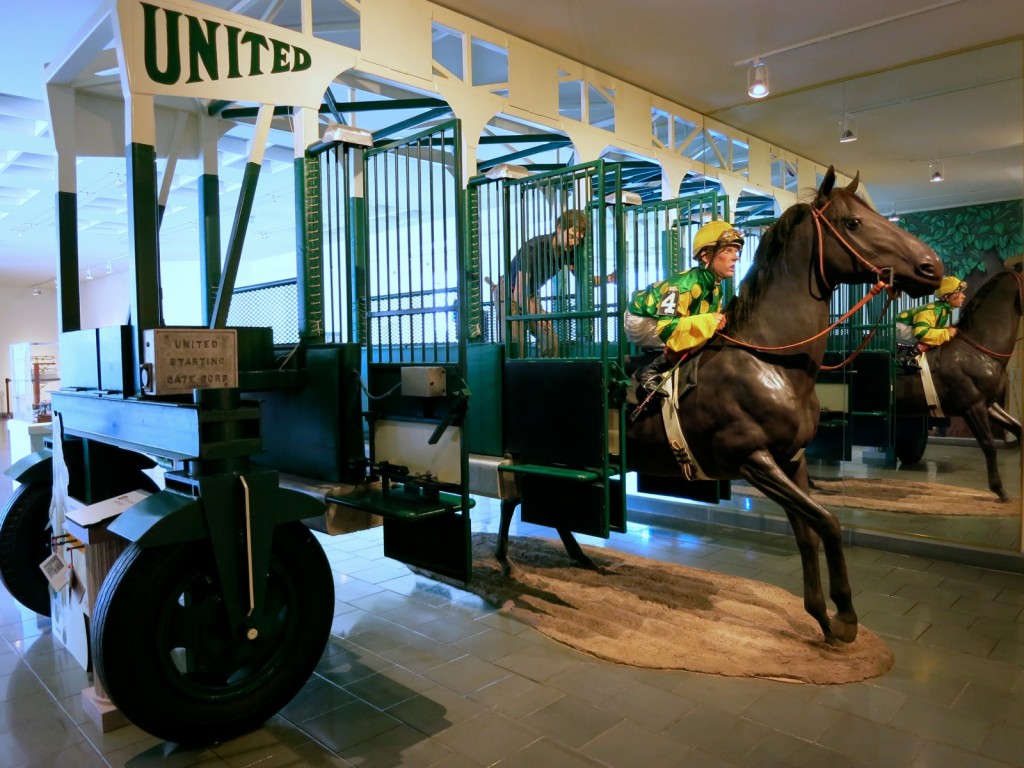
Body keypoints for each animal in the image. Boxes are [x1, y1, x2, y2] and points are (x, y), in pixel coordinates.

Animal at [495, 166, 942, 643]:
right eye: (854, 223)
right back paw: (506, 562)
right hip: (539, 450)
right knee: (514, 498)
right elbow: (828, 522)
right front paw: (845, 619)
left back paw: (580, 557)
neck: (770, 359)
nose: (933, 267)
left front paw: (821, 615)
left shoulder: (793, 458)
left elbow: (808, 530)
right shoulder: (750, 458)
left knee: (550, 502)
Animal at [892, 268, 1019, 501]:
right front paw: (999, 490)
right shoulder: (972, 406)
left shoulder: (988, 403)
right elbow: (988, 445)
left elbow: (1017, 427)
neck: (979, 349)